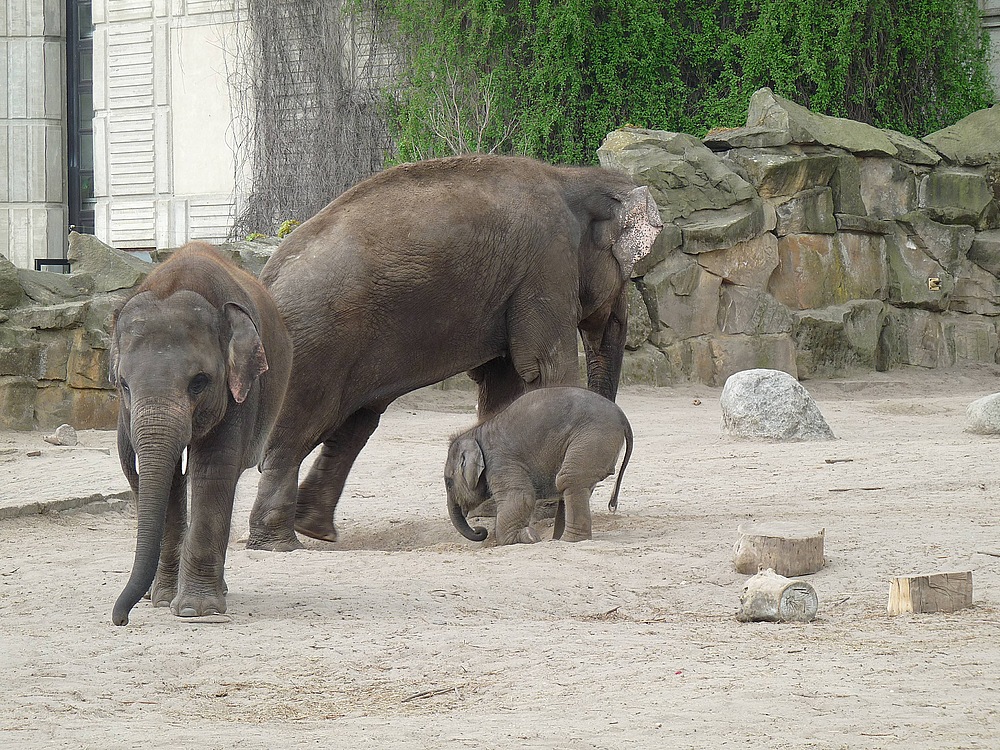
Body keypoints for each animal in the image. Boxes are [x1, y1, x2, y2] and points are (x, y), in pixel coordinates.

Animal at [114, 244, 292, 624]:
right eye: (123, 384)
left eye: (199, 382)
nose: (121, 619)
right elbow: (157, 477)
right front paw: (165, 600)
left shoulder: (240, 392)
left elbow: (213, 468)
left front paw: (197, 610)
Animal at [446, 388, 632, 548]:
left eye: (448, 483)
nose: (480, 531)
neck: (475, 432)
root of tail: (623, 416)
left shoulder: (501, 461)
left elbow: (520, 496)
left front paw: (524, 538)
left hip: (594, 437)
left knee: (569, 479)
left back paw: (568, 541)